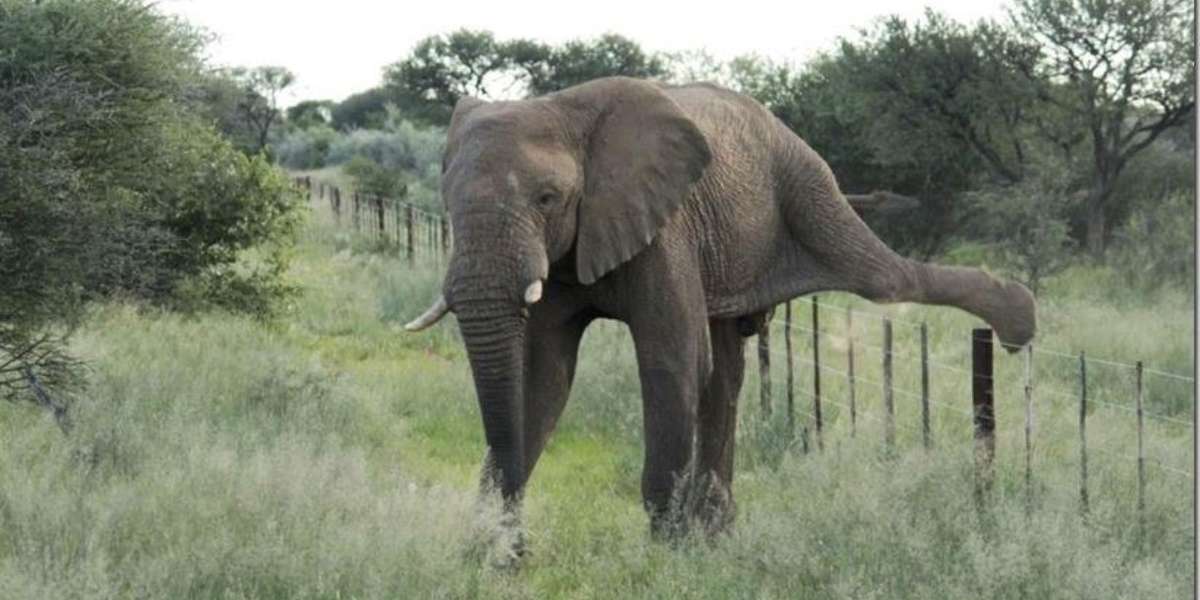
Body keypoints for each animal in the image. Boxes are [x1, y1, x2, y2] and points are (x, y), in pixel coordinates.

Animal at [405, 76, 1036, 546]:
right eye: (447, 203)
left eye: (546, 198)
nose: (517, 547)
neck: (565, 111)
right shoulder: (566, 252)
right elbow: (543, 376)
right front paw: (490, 552)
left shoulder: (664, 228)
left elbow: (668, 361)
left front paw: (665, 552)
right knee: (726, 371)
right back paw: (718, 531)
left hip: (804, 182)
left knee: (884, 277)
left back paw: (1019, 324)